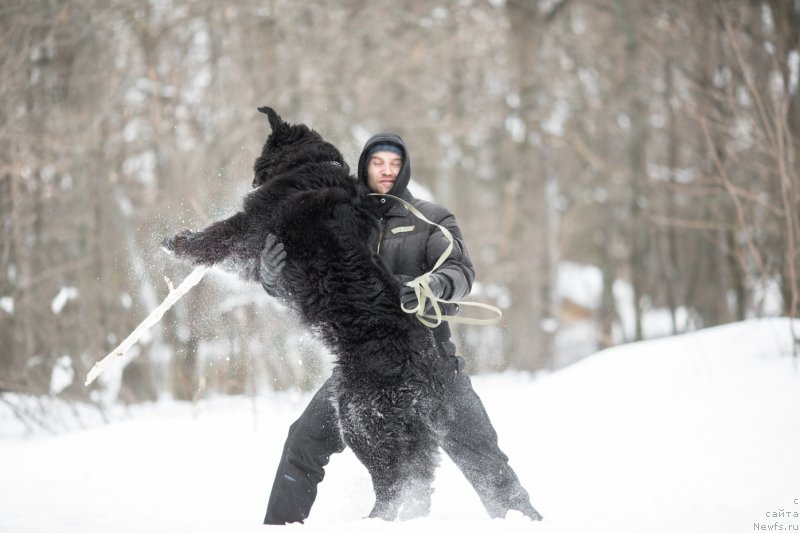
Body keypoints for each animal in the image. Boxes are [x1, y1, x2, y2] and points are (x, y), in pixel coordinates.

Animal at [164, 106, 444, 516]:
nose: (253, 176)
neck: (309, 166)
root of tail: (424, 375)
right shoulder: (257, 254)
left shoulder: (250, 226)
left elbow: (215, 238)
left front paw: (175, 242)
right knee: (415, 483)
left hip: (360, 422)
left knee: (394, 483)